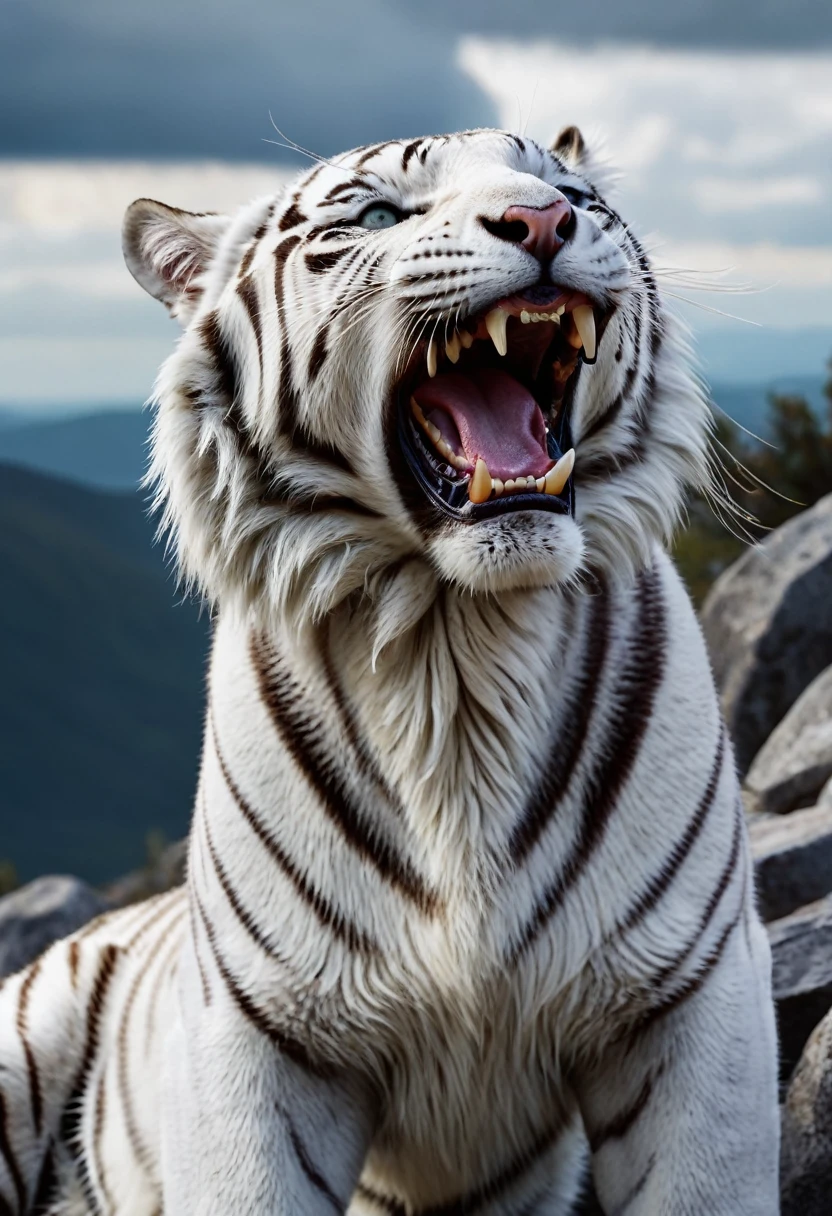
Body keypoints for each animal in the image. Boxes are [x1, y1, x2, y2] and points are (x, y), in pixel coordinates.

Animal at [0, 128, 778, 1211]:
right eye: (376, 215)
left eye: (571, 191)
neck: (457, 648)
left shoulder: (690, 989)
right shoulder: (260, 1033)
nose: (544, 220)